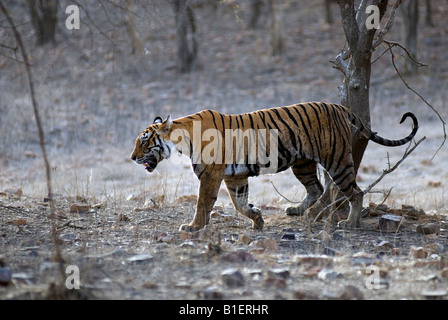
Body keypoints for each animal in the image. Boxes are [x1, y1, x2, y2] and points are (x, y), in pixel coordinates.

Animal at [131, 101, 418, 231]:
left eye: (144, 141)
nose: (133, 157)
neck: (183, 137)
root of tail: (337, 105)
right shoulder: (235, 177)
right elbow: (240, 203)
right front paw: (258, 220)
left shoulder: (211, 175)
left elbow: (203, 203)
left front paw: (193, 227)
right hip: (302, 164)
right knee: (316, 189)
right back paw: (297, 211)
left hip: (337, 160)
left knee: (354, 192)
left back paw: (350, 222)